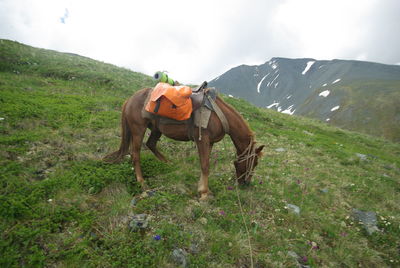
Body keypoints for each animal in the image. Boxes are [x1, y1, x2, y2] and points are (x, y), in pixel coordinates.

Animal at [104, 87, 264, 200]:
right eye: (254, 162)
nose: (246, 184)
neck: (219, 115)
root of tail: (129, 100)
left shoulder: (209, 143)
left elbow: (205, 164)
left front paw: (202, 189)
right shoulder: (202, 140)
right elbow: (205, 165)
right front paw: (204, 193)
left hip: (156, 129)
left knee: (151, 144)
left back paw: (168, 164)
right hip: (138, 129)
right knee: (135, 154)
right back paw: (142, 182)